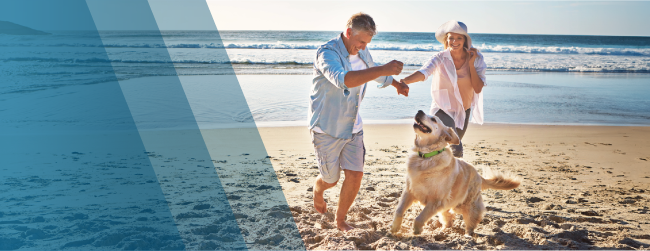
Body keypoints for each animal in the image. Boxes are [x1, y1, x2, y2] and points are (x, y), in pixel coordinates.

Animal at [388, 111, 520, 236]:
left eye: (433, 119)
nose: (419, 111)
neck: (426, 157)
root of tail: (479, 175)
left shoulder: (436, 201)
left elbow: (420, 217)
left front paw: (416, 230)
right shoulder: (409, 191)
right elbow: (399, 210)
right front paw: (395, 227)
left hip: (465, 205)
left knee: (472, 220)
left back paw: (468, 235)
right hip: (449, 205)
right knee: (449, 218)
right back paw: (443, 230)